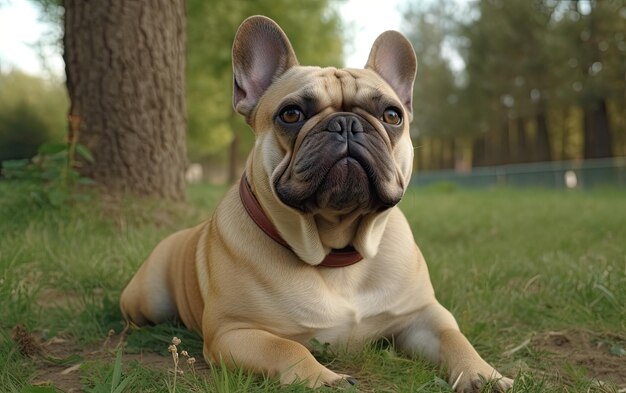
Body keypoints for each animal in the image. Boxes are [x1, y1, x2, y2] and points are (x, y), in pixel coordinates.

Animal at [118, 13, 512, 390]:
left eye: (392, 115)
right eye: (291, 114)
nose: (346, 124)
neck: (335, 250)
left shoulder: (423, 314)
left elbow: (454, 337)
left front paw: (484, 373)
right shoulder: (233, 332)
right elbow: (286, 347)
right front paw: (325, 377)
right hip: (147, 299)